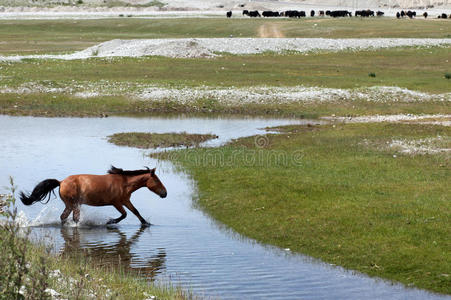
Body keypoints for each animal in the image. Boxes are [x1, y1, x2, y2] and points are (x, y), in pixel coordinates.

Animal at [19, 166, 167, 225]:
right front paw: (110, 222)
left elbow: (136, 211)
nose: (165, 194)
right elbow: (124, 214)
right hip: (74, 204)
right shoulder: (116, 203)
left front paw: (146, 223)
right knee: (73, 218)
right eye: (157, 180)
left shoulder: (125, 200)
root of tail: (61, 182)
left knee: (65, 217)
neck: (124, 183)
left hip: (70, 204)